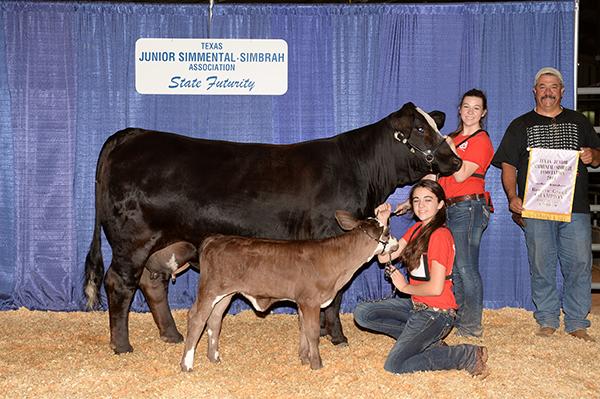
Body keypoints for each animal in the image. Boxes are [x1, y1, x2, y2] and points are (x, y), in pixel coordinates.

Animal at [83, 101, 460, 354]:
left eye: (436, 126)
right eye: (421, 130)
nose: (455, 160)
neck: (360, 169)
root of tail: (132, 134)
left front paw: (325, 333)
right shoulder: (331, 239)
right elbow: (336, 295)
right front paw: (337, 337)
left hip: (162, 243)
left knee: (152, 283)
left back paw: (171, 335)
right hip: (134, 239)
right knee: (119, 283)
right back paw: (122, 345)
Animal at [179, 211, 398, 374]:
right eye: (387, 232)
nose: (396, 243)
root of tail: (216, 239)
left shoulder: (302, 302)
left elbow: (303, 330)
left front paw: (304, 358)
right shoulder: (311, 301)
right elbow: (312, 332)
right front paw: (316, 364)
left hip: (225, 295)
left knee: (214, 320)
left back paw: (214, 357)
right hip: (209, 290)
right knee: (197, 318)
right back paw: (187, 365)